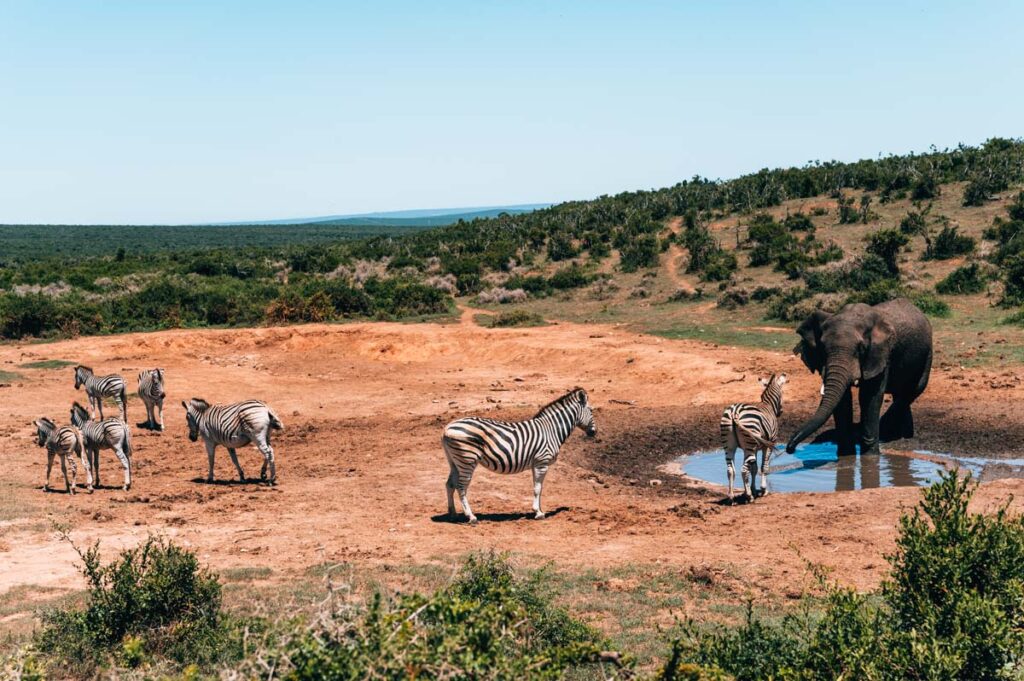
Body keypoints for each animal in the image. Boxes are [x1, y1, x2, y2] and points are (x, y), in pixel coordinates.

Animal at [786, 298, 932, 457]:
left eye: (861, 348)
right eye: (822, 347)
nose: (790, 449)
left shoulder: (881, 353)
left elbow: (869, 396)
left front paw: (870, 456)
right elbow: (843, 400)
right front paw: (846, 456)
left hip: (927, 352)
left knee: (914, 389)